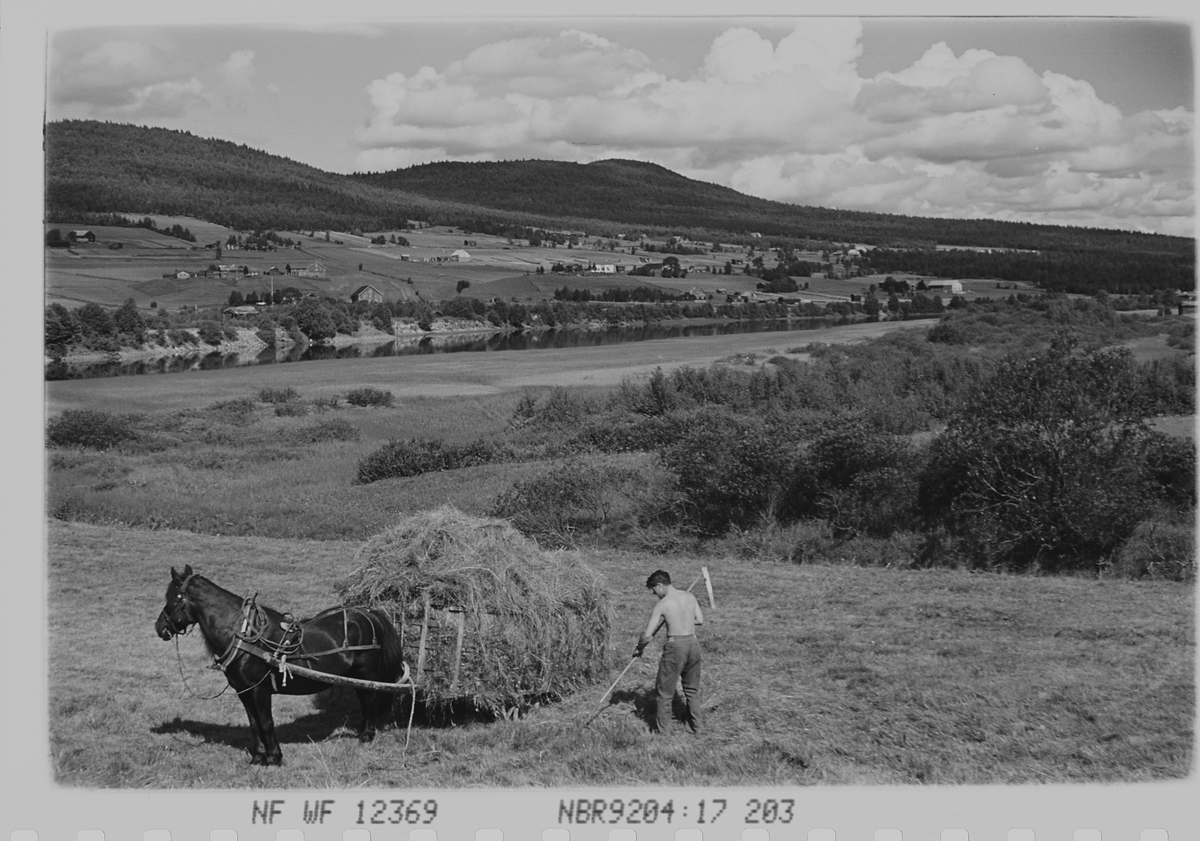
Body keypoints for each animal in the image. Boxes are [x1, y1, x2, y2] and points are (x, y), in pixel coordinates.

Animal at [154, 563, 410, 767]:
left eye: (172, 598)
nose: (159, 627)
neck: (244, 635)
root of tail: (368, 612)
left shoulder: (259, 689)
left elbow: (266, 722)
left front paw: (275, 757)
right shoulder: (243, 690)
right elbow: (254, 723)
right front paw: (258, 757)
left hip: (366, 672)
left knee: (370, 700)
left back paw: (367, 735)